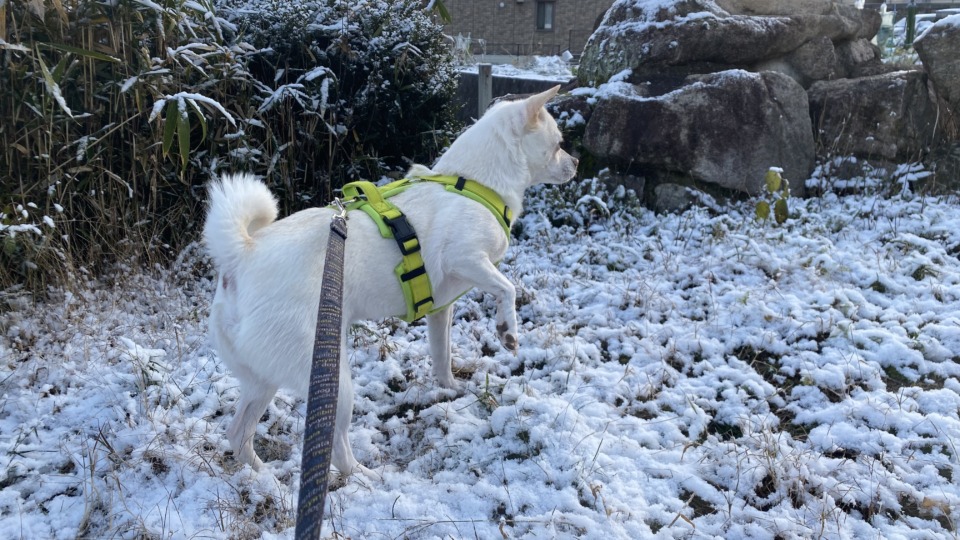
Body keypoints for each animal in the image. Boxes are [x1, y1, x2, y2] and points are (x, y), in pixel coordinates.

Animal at [202, 84, 576, 476]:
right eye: (558, 144)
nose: (577, 163)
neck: (474, 183)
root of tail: (241, 257)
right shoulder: (467, 258)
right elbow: (508, 288)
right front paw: (508, 331)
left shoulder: (441, 310)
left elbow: (442, 354)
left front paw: (451, 387)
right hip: (333, 380)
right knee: (338, 452)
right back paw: (366, 478)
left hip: (262, 379)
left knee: (238, 433)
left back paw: (263, 477)